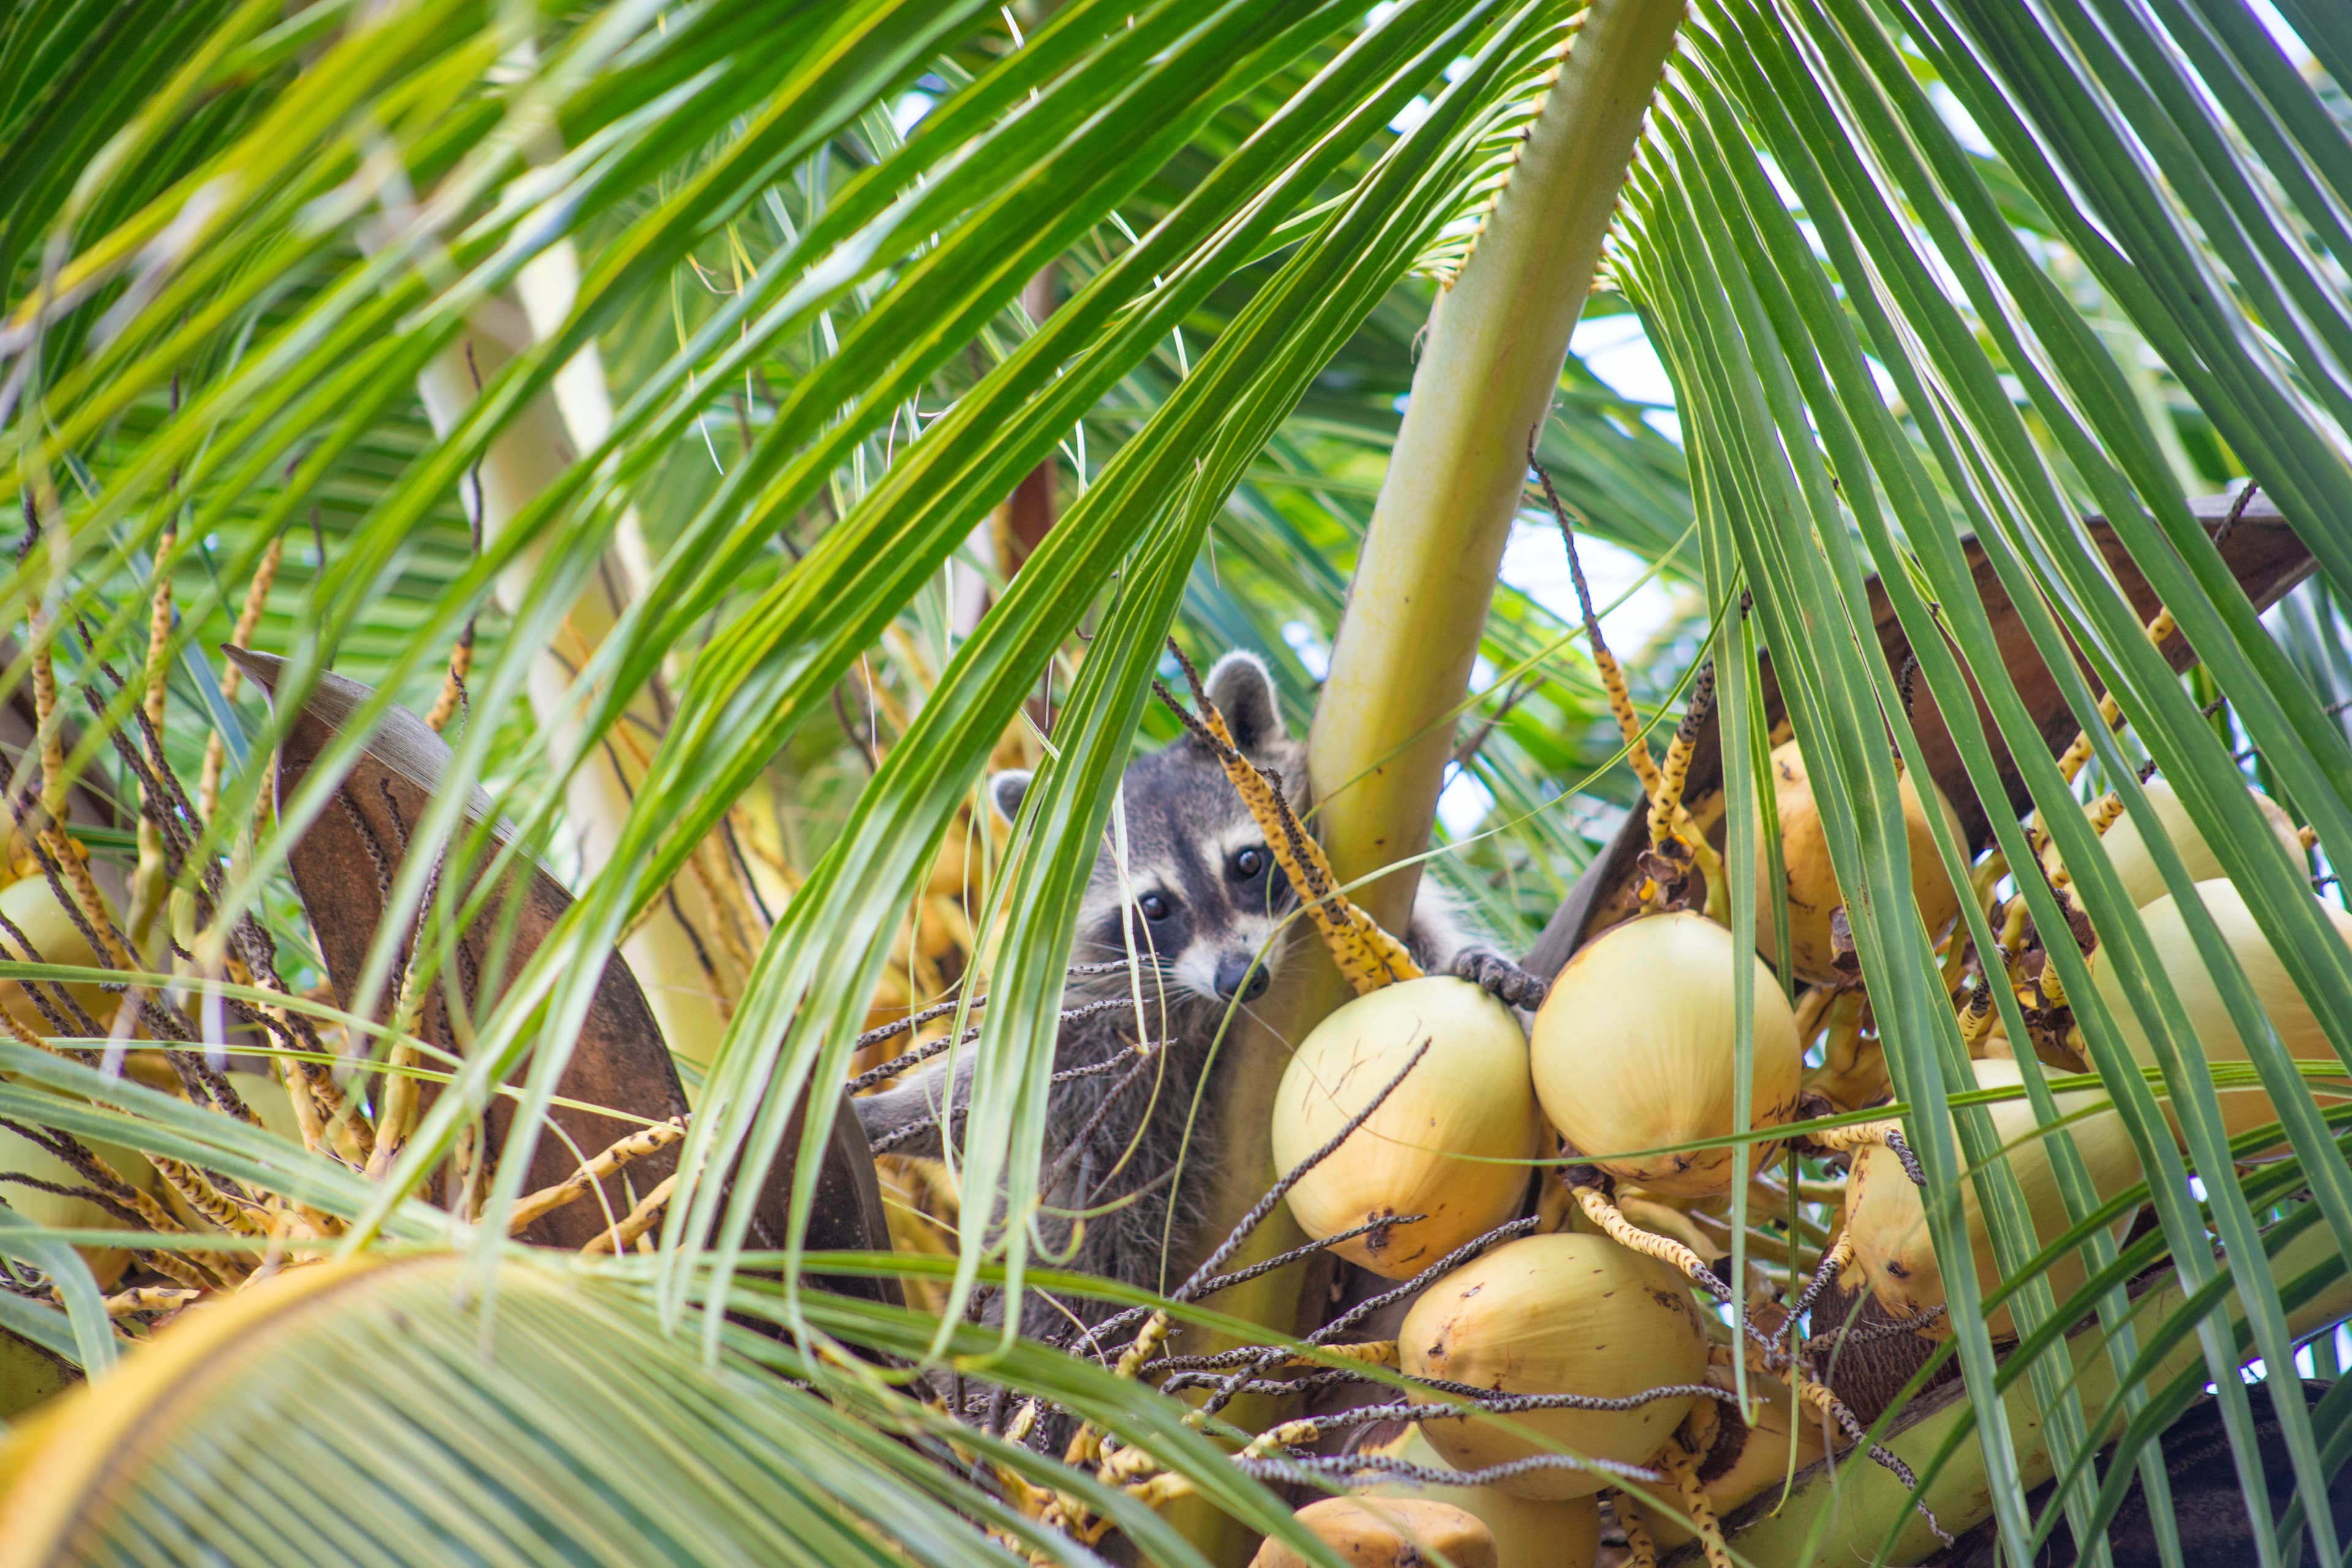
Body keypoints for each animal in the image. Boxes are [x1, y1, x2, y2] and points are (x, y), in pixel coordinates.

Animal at [853, 650, 1545, 1340]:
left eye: (1248, 864)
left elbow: (1417, 948)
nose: (1243, 979)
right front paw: (892, 1112)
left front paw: (1473, 961)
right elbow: (1020, 1090)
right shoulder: (1109, 1006)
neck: (1212, 1009)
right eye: (1155, 907)